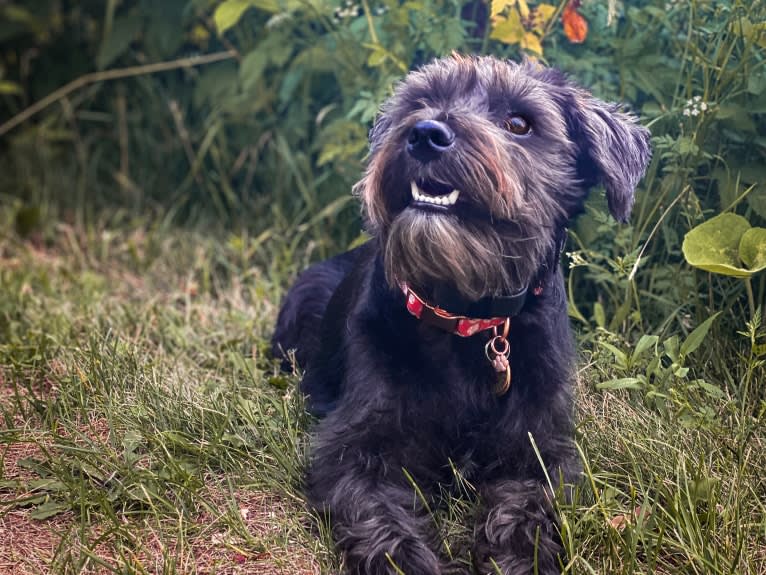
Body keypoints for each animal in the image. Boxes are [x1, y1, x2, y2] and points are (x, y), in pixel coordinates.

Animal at [272, 55, 652, 575]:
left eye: (519, 123)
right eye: (421, 101)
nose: (425, 133)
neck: (465, 316)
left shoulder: (539, 450)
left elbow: (525, 509)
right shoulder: (355, 447)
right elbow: (381, 515)